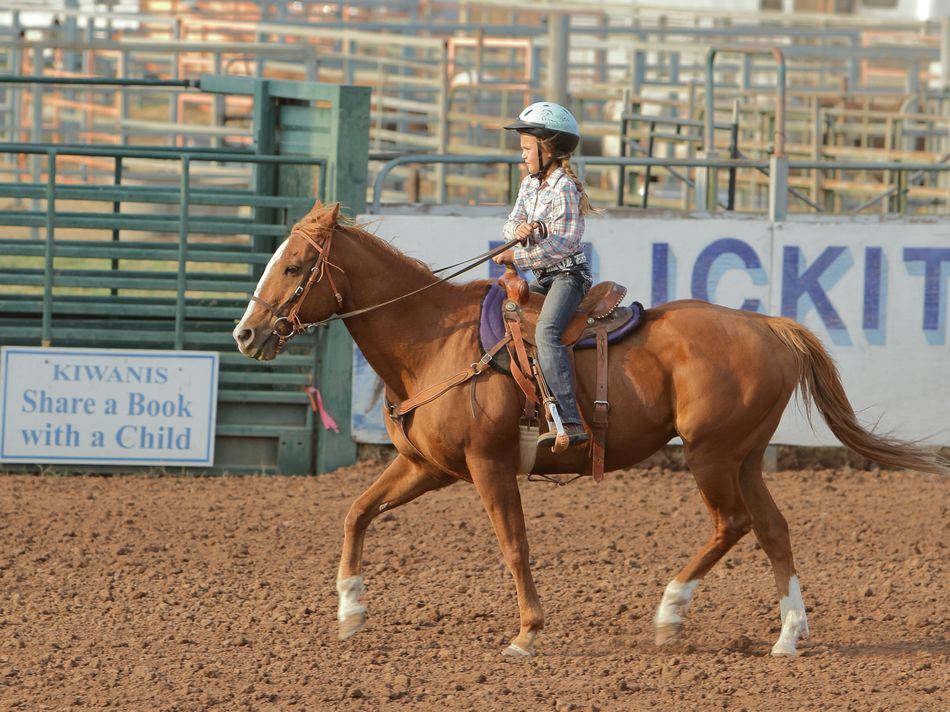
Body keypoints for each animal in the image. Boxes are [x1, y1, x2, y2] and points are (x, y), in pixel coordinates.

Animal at [233, 201, 948, 658]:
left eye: (294, 266)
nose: (245, 334)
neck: (433, 340)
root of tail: (768, 325)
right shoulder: (428, 466)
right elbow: (357, 511)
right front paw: (350, 612)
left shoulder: (489, 466)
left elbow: (514, 546)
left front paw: (526, 634)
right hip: (744, 456)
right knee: (772, 529)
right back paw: (787, 636)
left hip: (711, 456)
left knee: (734, 524)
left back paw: (670, 613)